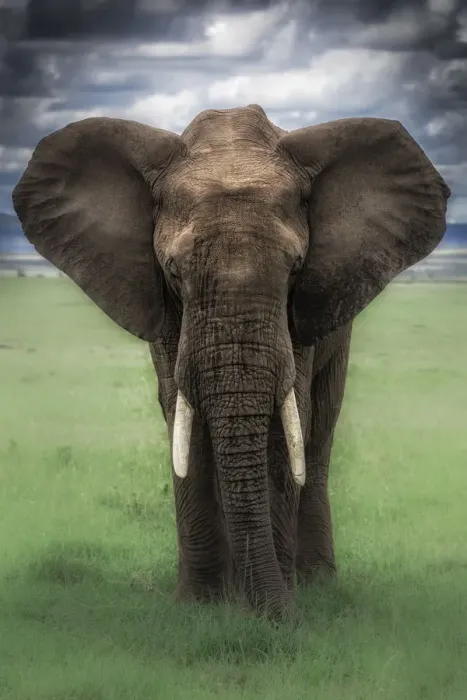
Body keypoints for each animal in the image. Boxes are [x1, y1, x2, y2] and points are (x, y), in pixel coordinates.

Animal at [12, 104, 450, 618]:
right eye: (173, 271)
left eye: (295, 268)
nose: (280, 617)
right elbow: (182, 417)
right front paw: (199, 607)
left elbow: (288, 423)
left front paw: (277, 608)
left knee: (320, 431)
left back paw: (317, 583)